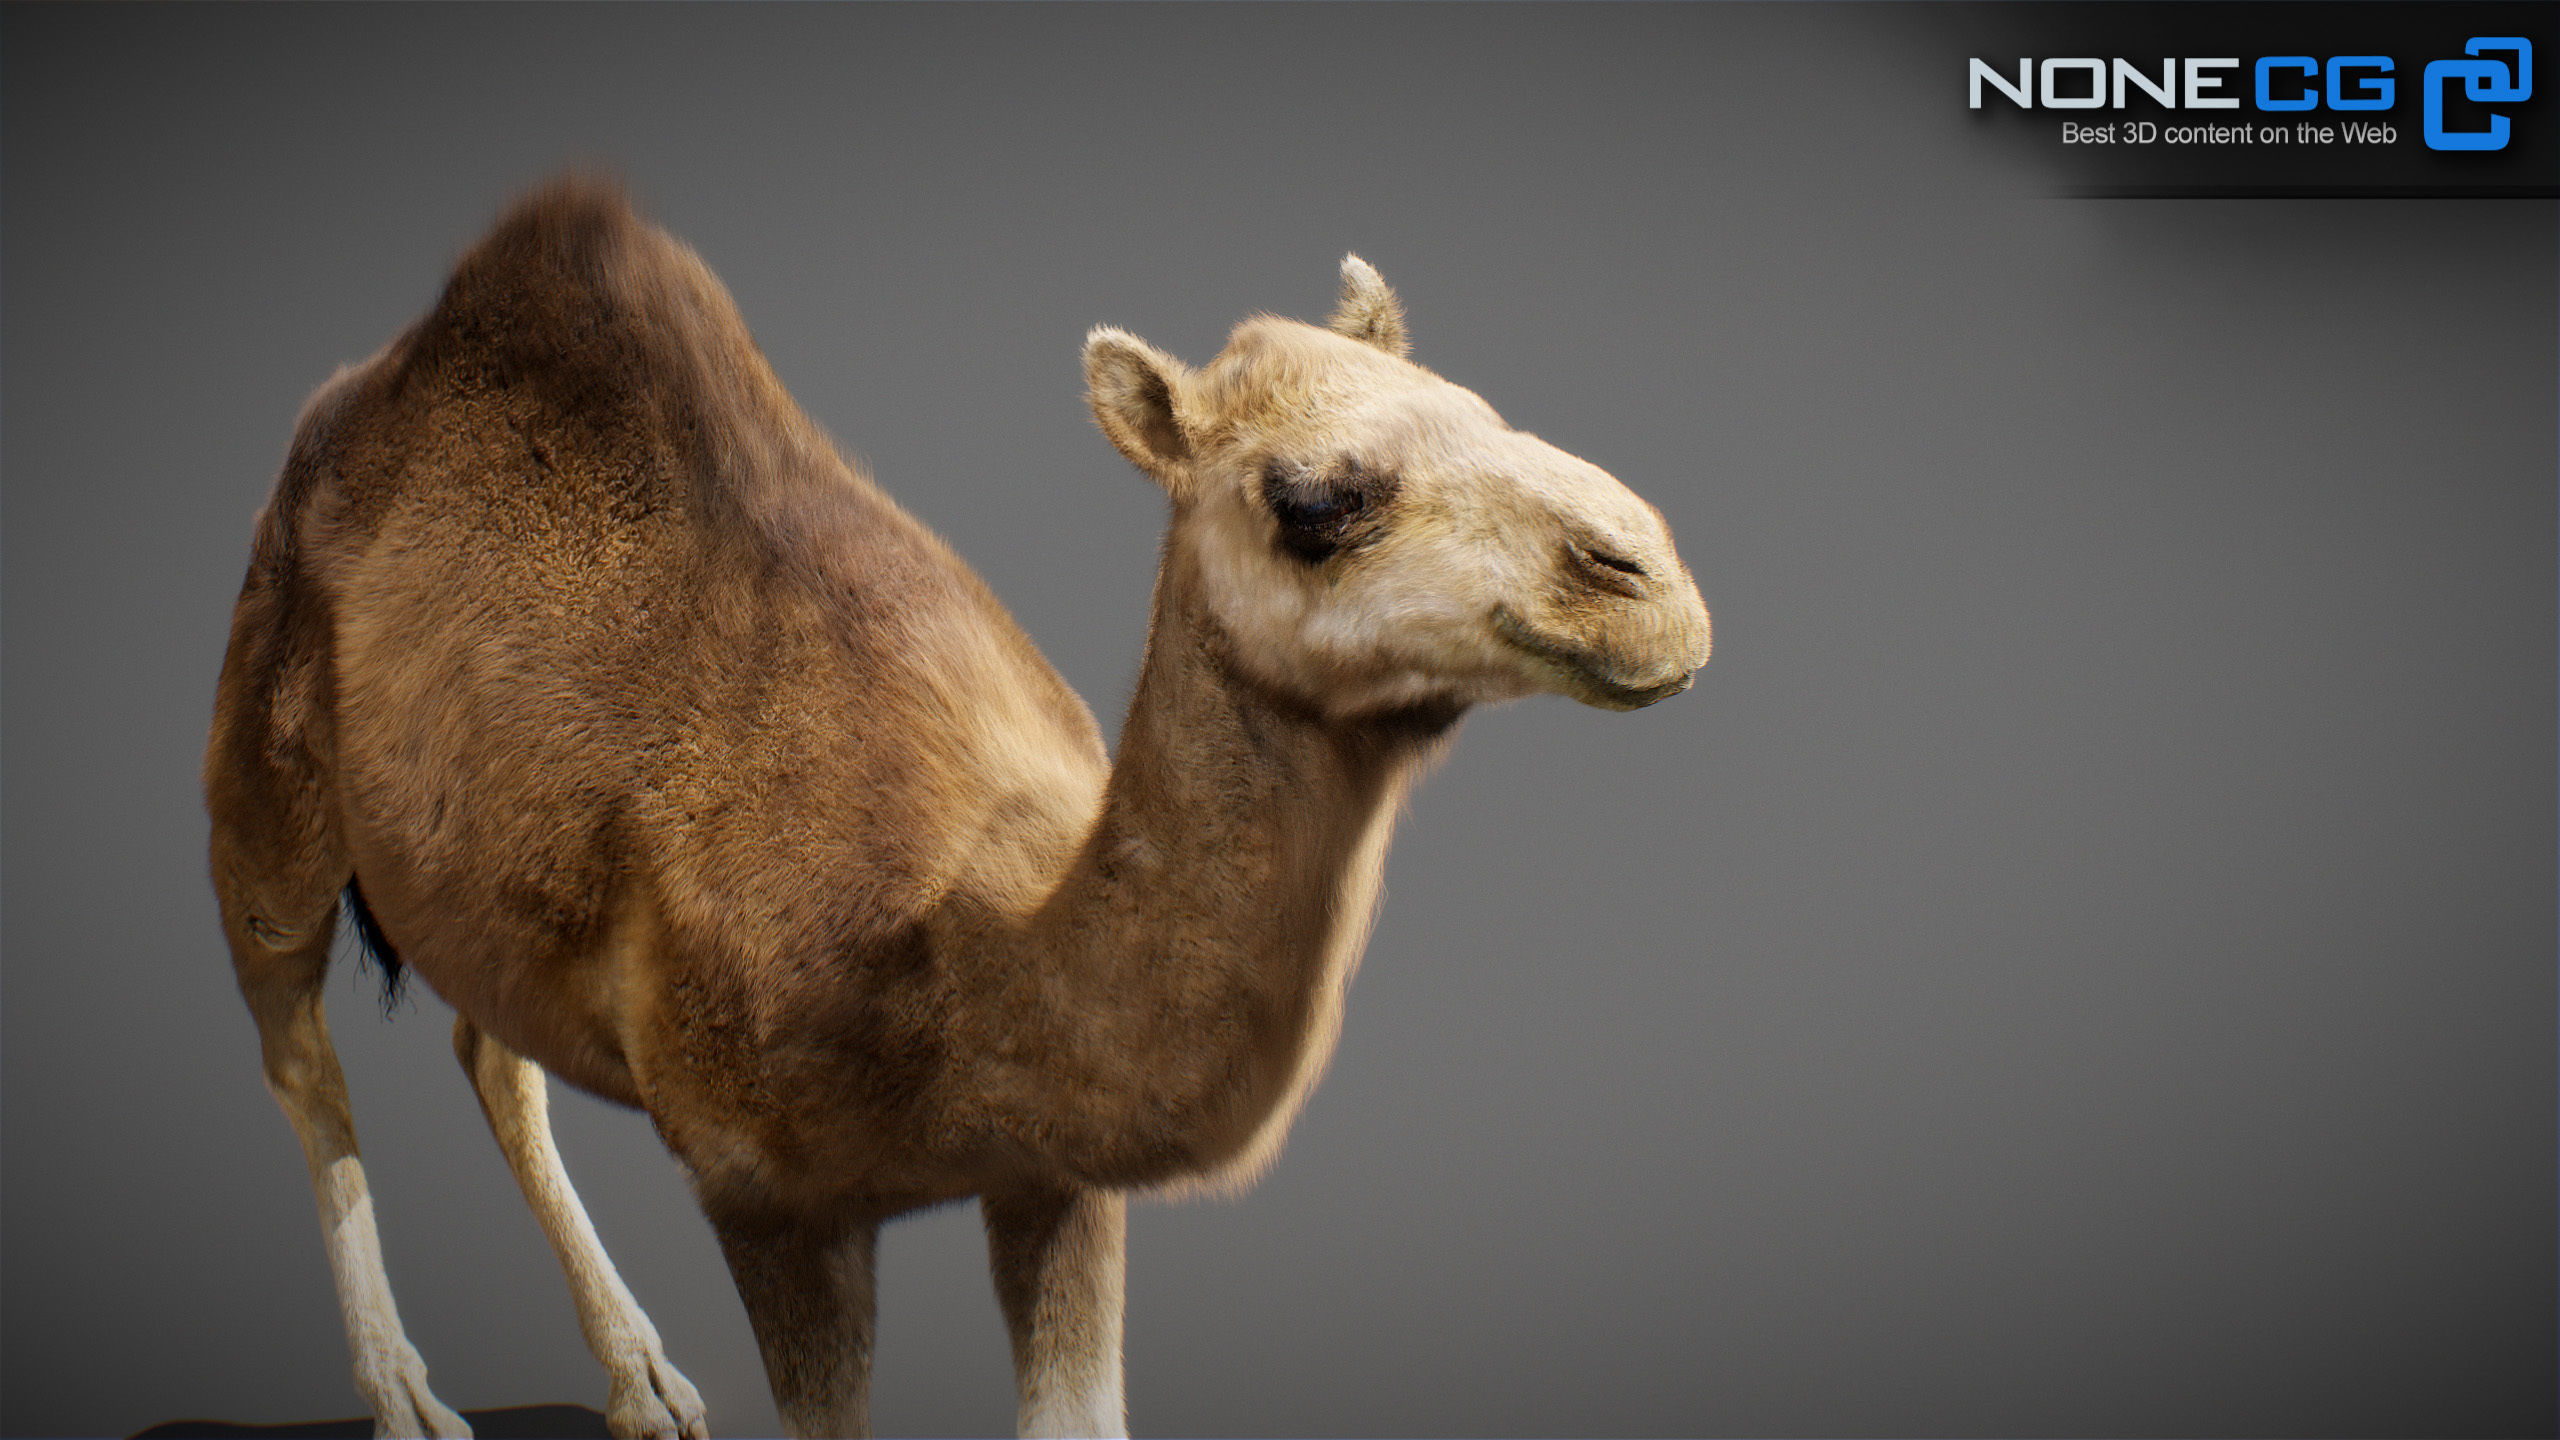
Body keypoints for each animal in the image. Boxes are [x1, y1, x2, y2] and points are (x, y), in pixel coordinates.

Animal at [203, 178, 1711, 1440]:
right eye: (1314, 500)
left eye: (1481, 407)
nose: (1648, 580)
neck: (963, 958)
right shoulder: (767, 1195)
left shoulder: (1060, 1187)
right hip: (266, 736)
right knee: (295, 1035)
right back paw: (407, 1397)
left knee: (490, 1046)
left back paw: (643, 1384)